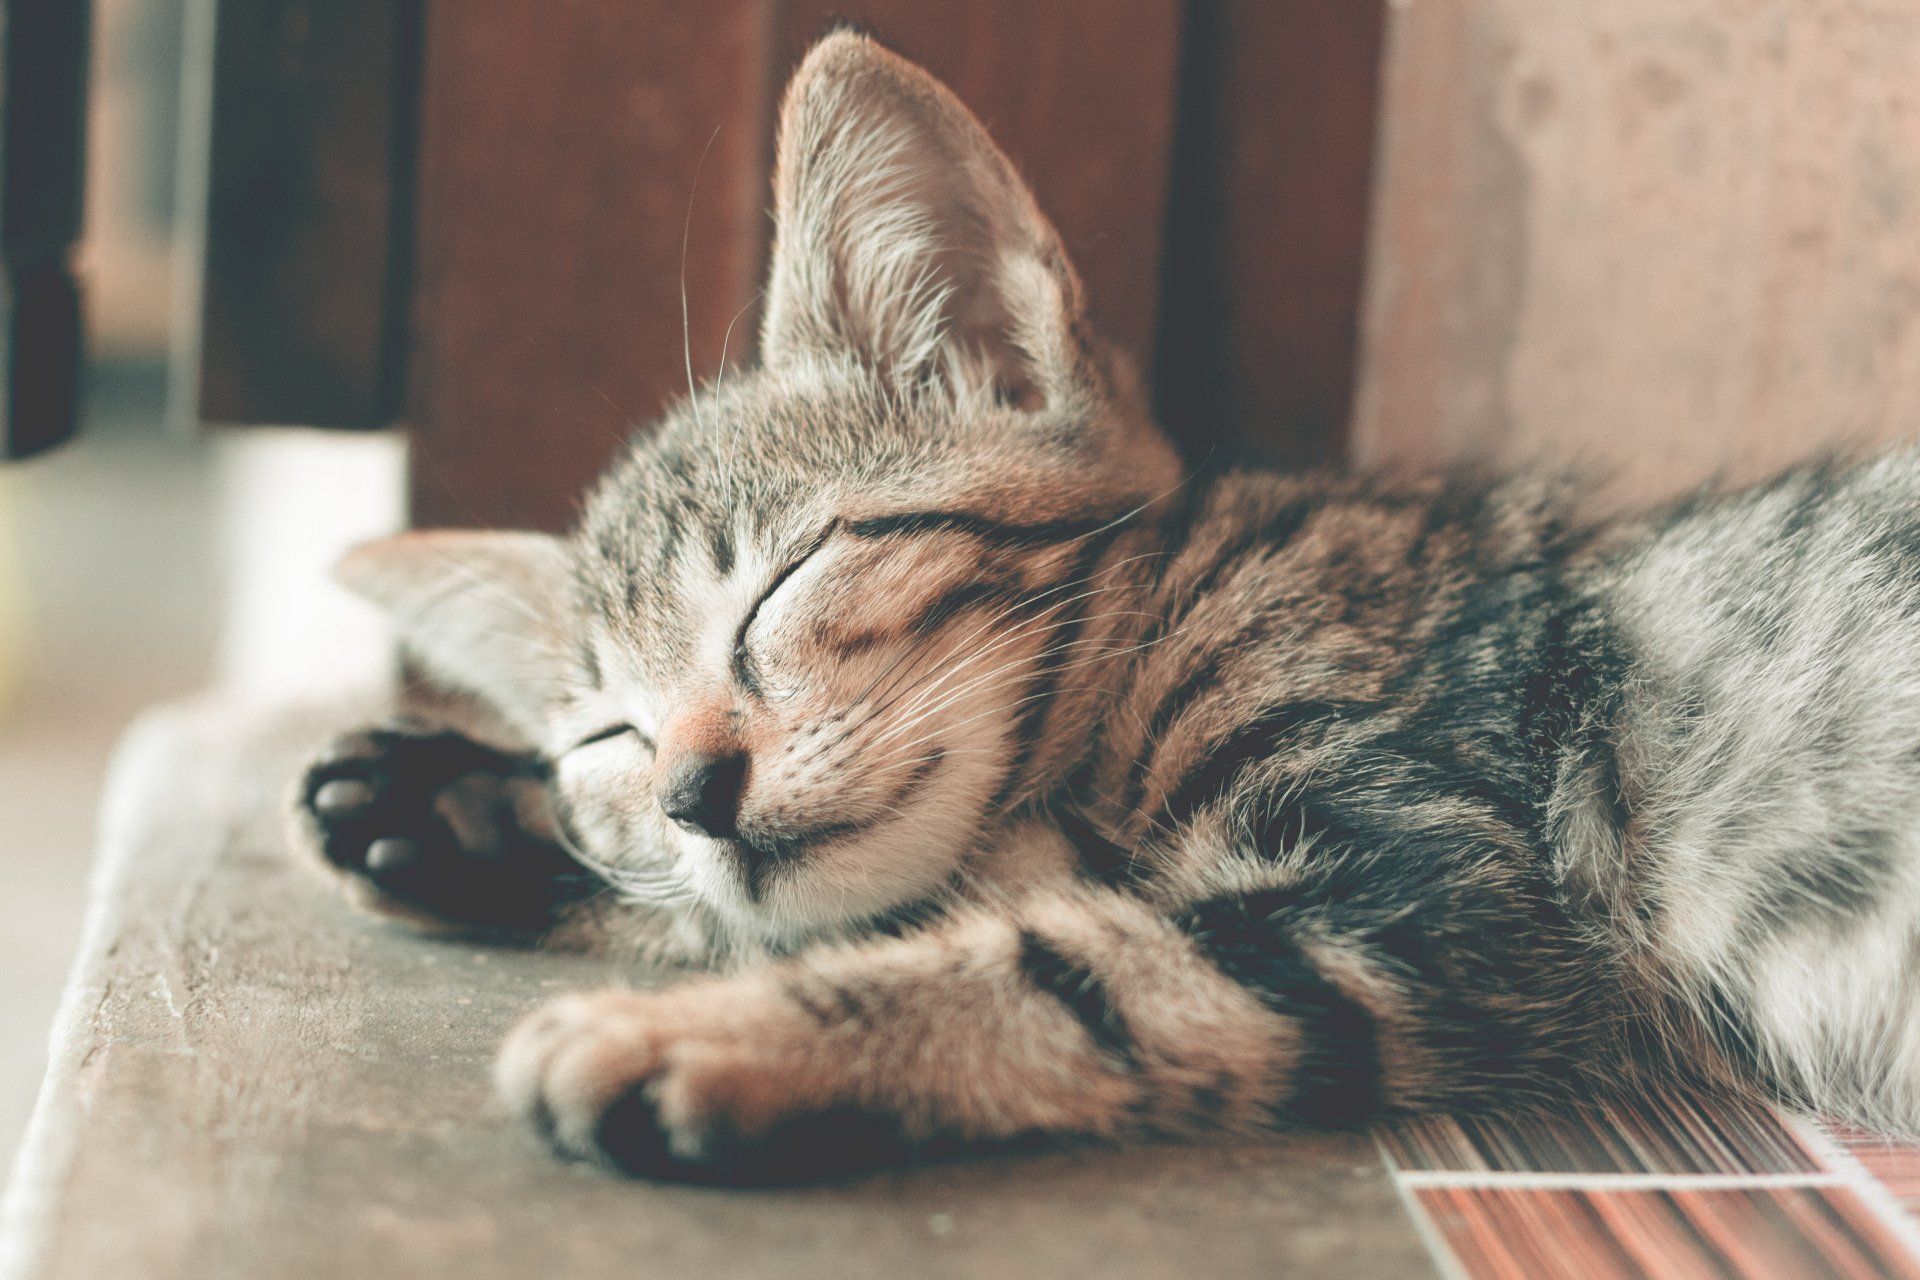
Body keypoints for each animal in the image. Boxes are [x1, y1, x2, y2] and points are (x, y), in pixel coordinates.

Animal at [291, 29, 1920, 1189]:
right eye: (609, 742)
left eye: (784, 583)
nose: (693, 788)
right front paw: (462, 803)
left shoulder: (1440, 893)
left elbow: (1082, 966)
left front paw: (696, 1033)